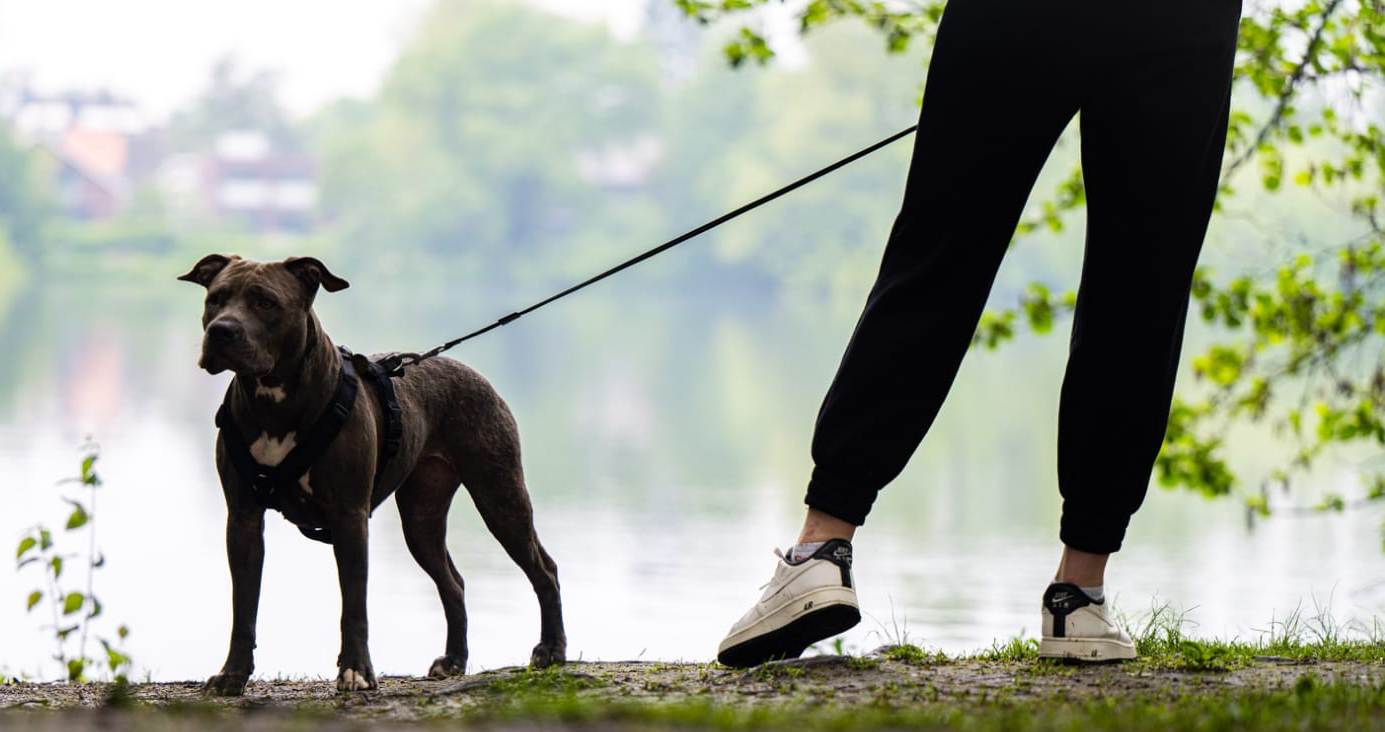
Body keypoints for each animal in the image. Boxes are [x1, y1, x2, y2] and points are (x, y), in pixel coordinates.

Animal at [180, 254, 567, 694]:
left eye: (265, 302)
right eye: (215, 298)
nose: (221, 330)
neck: (273, 400)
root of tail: (464, 366)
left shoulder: (349, 517)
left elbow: (354, 604)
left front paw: (356, 671)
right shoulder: (243, 519)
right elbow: (243, 608)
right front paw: (232, 674)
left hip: (500, 496)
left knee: (544, 570)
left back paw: (551, 650)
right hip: (421, 519)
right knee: (453, 582)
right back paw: (453, 660)